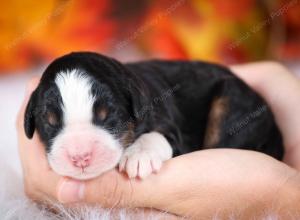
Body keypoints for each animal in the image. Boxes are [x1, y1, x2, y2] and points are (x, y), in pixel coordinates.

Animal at [24, 52, 284, 180]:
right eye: (49, 123)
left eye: (108, 116)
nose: (80, 157)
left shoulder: (170, 127)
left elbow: (156, 135)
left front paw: (139, 156)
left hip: (231, 101)